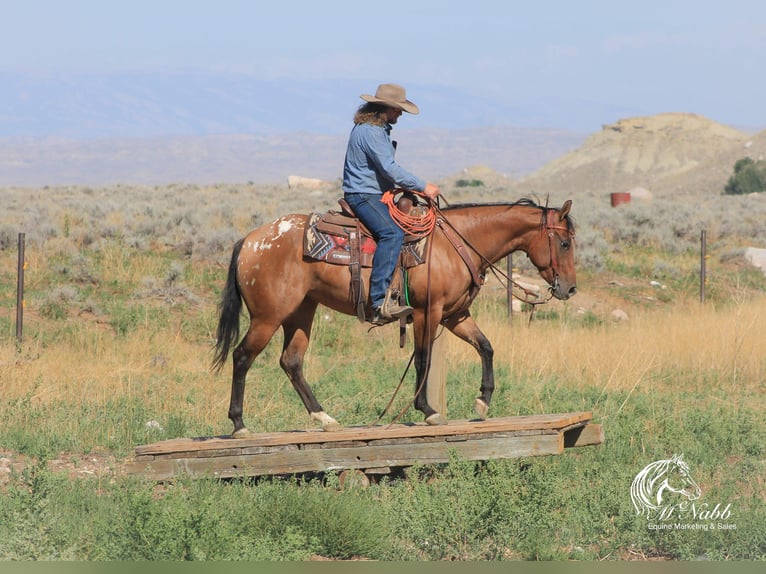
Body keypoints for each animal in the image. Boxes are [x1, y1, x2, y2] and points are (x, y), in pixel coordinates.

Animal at [214, 198, 576, 436]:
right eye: (564, 242)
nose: (569, 288)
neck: (455, 244)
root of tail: (250, 241)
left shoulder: (456, 315)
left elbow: (485, 347)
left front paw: (482, 401)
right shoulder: (427, 311)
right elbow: (423, 358)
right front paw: (428, 411)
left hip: (301, 311)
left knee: (291, 361)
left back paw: (325, 418)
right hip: (268, 316)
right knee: (242, 356)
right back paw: (239, 424)